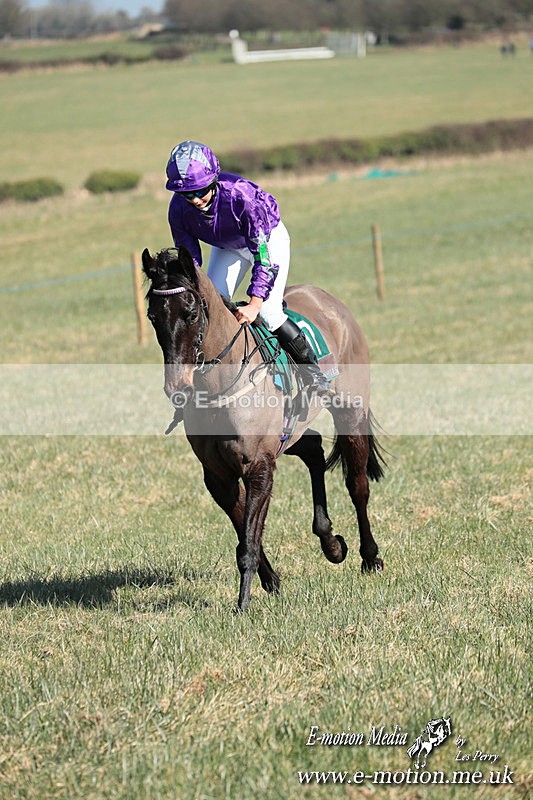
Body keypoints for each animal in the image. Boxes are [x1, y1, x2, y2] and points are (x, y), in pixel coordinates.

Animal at [141, 246, 385, 611]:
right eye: (153, 317)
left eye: (191, 313)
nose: (177, 386)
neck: (221, 386)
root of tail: (328, 299)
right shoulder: (218, 475)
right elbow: (244, 531)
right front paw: (271, 581)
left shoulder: (258, 466)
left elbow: (249, 538)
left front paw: (243, 603)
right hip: (291, 431)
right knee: (313, 448)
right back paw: (330, 542)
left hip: (351, 413)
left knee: (358, 487)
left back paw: (369, 557)